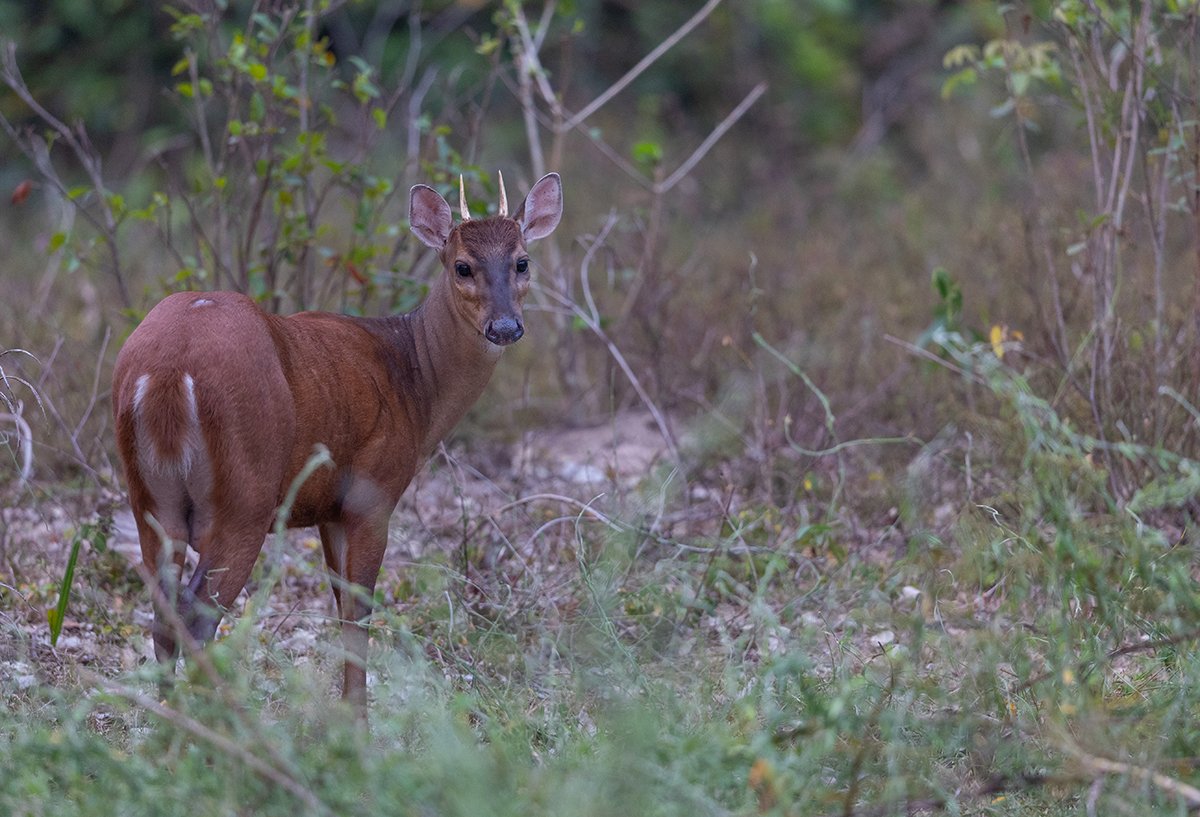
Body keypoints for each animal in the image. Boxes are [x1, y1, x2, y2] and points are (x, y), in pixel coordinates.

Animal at [112, 171, 561, 715]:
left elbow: (341, 606)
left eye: (522, 261)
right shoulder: (373, 493)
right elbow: (358, 614)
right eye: (462, 266)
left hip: (151, 498)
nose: (505, 326)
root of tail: (167, 372)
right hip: (245, 495)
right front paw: (356, 721)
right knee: (197, 617)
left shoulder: (327, 507)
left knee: (163, 617)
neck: (414, 383)